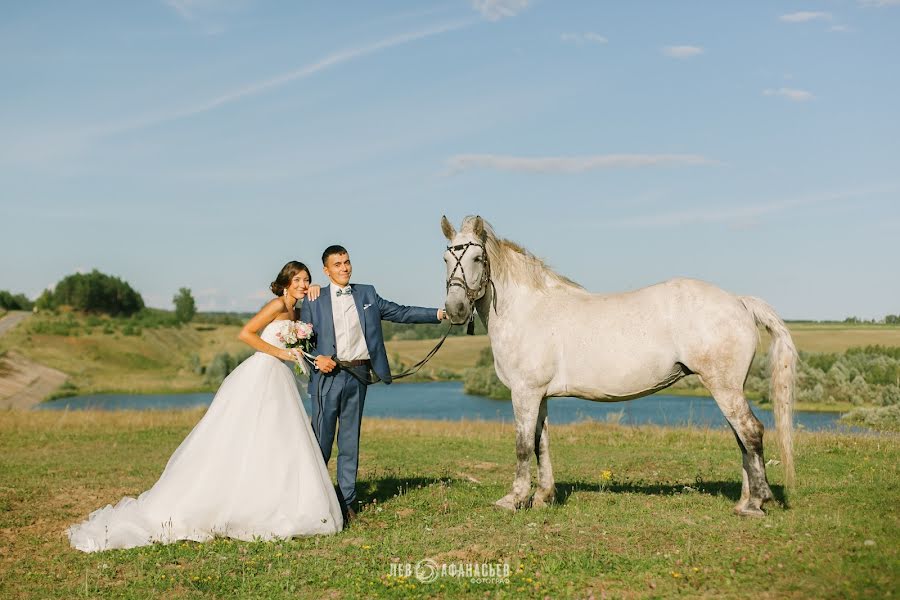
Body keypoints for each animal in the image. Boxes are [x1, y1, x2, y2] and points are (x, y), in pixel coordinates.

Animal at [440, 214, 800, 516]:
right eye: (445, 259)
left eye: (477, 258)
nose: (455, 309)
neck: (527, 310)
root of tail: (738, 301)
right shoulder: (538, 396)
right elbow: (541, 444)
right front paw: (542, 497)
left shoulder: (524, 393)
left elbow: (523, 446)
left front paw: (513, 500)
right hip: (728, 388)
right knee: (742, 437)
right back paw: (744, 500)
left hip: (723, 386)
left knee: (751, 431)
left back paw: (755, 503)